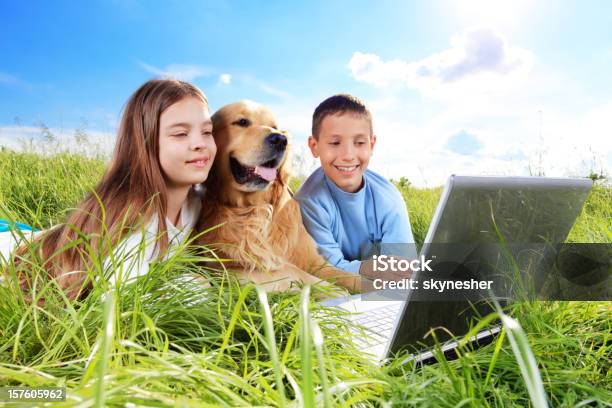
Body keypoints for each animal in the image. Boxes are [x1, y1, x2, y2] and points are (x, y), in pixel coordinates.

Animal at [196, 101, 360, 294]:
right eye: (242, 122)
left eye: (275, 127)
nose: (280, 140)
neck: (255, 207)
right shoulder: (224, 269)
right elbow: (291, 270)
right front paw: (335, 291)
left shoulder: (315, 261)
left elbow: (349, 275)